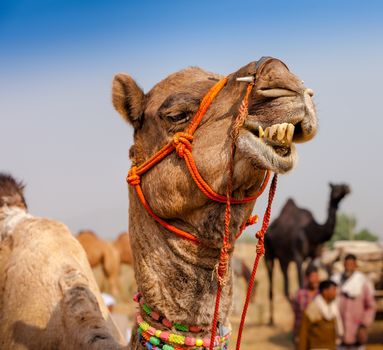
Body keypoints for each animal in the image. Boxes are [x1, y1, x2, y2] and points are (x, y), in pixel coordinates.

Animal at [266, 183, 352, 326]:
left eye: (343, 184)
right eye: (335, 187)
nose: (347, 187)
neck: (312, 232)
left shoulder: (314, 255)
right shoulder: (298, 256)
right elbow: (301, 284)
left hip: (284, 259)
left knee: (285, 286)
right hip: (268, 254)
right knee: (271, 281)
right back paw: (271, 320)